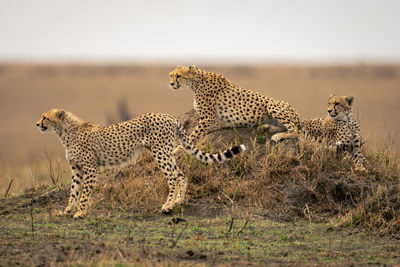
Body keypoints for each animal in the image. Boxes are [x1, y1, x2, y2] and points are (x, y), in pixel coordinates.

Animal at [36, 109, 245, 220]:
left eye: (45, 117)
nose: (37, 124)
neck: (64, 132)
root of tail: (170, 117)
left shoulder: (90, 168)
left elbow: (84, 192)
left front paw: (80, 212)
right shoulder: (77, 169)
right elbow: (73, 191)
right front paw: (67, 210)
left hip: (160, 152)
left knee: (173, 178)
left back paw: (167, 206)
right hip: (167, 153)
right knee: (181, 176)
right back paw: (178, 202)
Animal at [167, 66, 302, 147]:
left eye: (178, 76)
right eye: (170, 75)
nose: (171, 84)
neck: (196, 82)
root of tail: (298, 113)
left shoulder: (207, 119)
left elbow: (191, 137)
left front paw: (177, 150)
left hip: (271, 105)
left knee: (296, 130)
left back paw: (278, 136)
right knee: (286, 127)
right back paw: (268, 127)